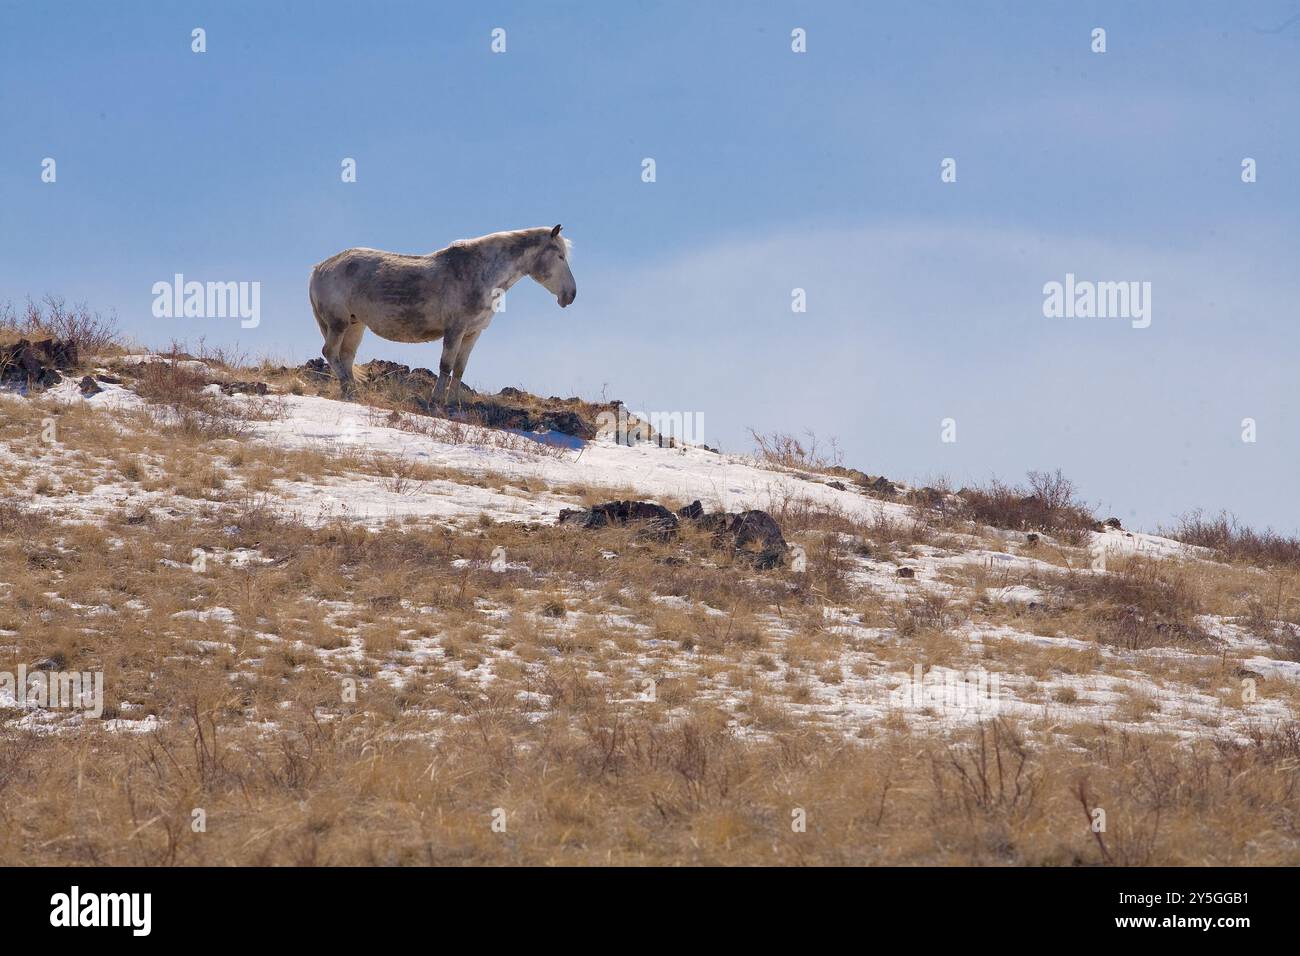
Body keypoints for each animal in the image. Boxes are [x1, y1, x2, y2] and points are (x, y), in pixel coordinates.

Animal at [309, 224, 576, 403]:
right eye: (560, 256)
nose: (570, 295)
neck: (480, 273)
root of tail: (319, 268)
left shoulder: (472, 333)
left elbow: (459, 368)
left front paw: (454, 402)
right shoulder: (455, 329)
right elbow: (446, 365)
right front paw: (436, 401)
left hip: (355, 325)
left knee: (346, 356)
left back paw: (353, 391)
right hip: (338, 323)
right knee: (330, 352)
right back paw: (349, 389)